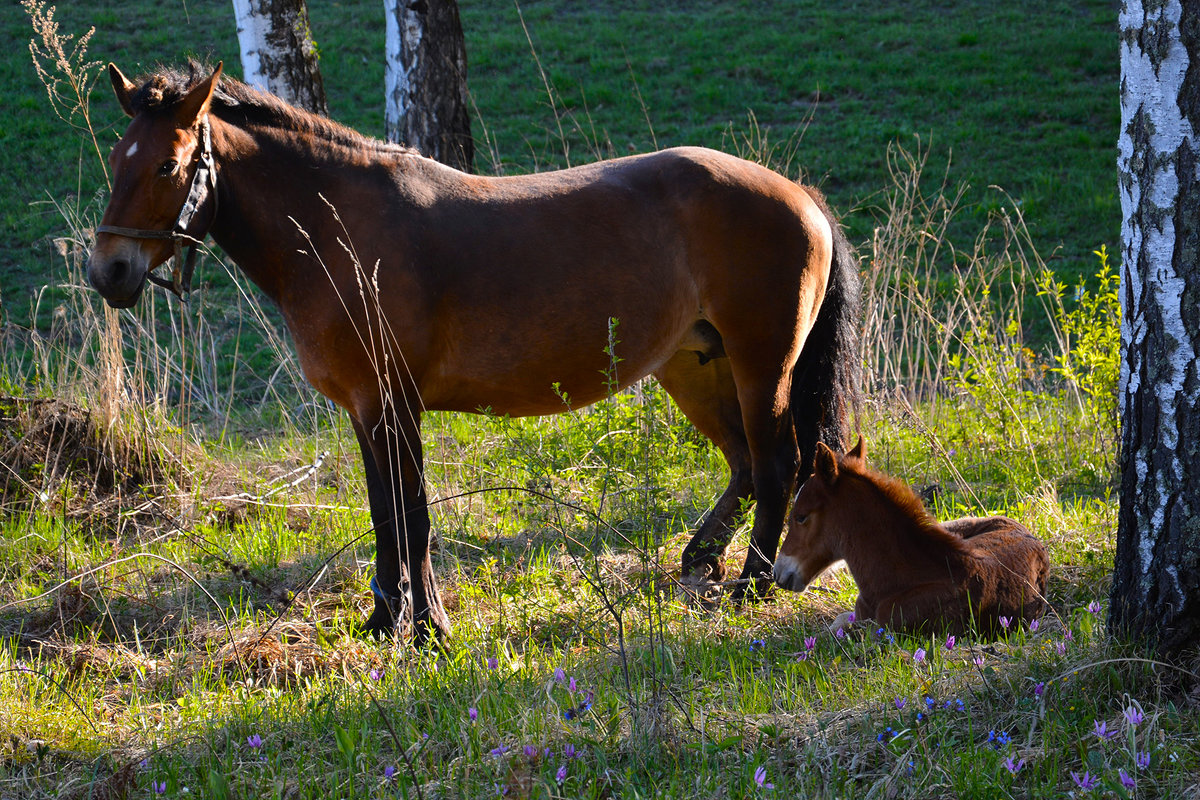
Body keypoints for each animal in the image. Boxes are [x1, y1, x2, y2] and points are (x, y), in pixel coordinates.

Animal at [88, 61, 864, 642]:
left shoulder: (395, 404)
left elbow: (415, 515)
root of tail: (797, 192)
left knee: (777, 462)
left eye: (168, 166)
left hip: (762, 366)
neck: (340, 231)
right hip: (697, 369)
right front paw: (384, 622)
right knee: (743, 463)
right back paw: (701, 561)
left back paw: (751, 586)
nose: (109, 272)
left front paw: (428, 627)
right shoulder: (365, 410)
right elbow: (386, 512)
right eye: (117, 160)